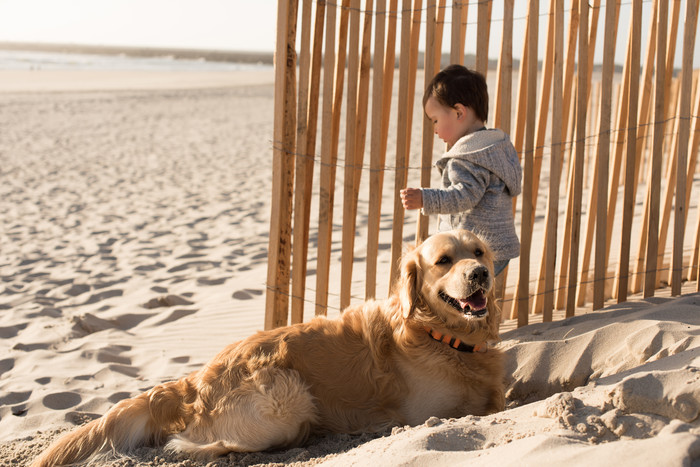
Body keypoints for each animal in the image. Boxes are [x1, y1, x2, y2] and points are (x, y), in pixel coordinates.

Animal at [31, 230, 504, 467]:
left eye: (479, 252)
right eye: (443, 261)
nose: (479, 273)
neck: (443, 337)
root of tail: (191, 384)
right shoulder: (428, 412)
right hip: (289, 398)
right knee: (195, 445)